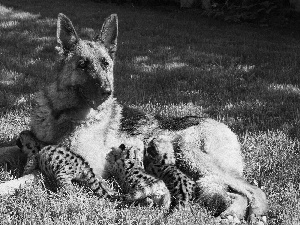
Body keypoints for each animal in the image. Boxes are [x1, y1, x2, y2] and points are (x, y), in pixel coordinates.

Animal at [0, 13, 268, 223]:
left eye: (106, 64)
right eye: (82, 64)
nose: (107, 92)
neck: (62, 114)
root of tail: (223, 125)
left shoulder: (79, 162)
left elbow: (26, 177)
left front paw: (6, 187)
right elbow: (7, 150)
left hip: (189, 152)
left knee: (255, 191)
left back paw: (254, 214)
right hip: (203, 178)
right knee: (237, 193)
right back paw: (232, 213)